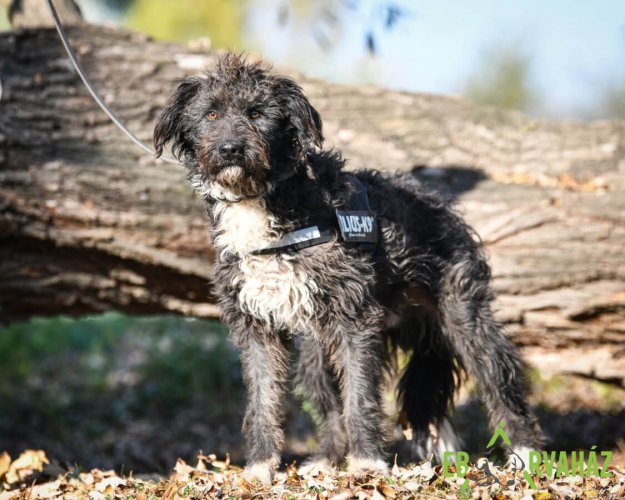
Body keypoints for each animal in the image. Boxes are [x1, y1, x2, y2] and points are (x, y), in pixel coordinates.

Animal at [153, 54, 543, 484]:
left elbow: (359, 396)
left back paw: (525, 453)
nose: (230, 149)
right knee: (331, 410)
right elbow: (262, 401)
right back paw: (326, 459)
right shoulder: (257, 327)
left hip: (465, 320)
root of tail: (440, 206)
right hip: (315, 355)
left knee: (500, 382)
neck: (270, 206)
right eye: (211, 113)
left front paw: (367, 462)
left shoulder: (353, 319)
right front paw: (259, 467)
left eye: (256, 113)